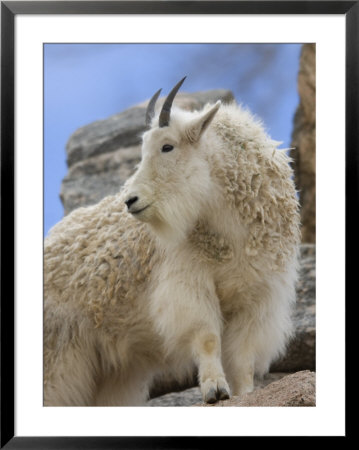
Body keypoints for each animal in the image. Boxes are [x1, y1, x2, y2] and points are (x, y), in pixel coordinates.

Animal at [43, 75, 300, 406]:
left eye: (167, 146)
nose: (130, 200)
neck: (229, 229)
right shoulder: (189, 281)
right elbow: (206, 337)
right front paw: (215, 390)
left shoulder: (258, 296)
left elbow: (243, 356)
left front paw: (246, 394)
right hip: (58, 350)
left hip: (109, 369)